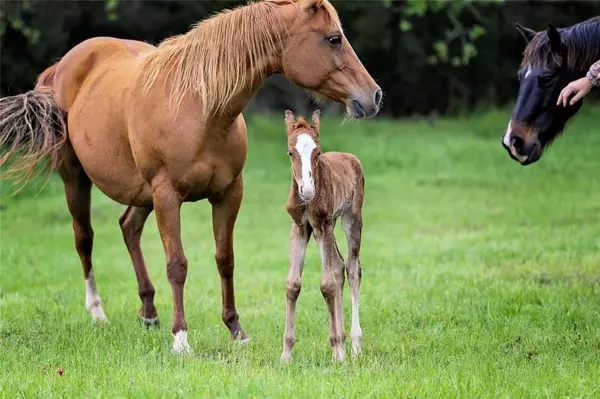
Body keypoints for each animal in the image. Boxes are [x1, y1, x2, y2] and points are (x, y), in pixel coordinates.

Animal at [278, 111, 364, 364]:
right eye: (290, 152)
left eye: (318, 152)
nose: (307, 190)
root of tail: (350, 157)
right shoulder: (300, 228)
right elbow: (293, 284)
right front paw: (286, 354)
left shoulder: (322, 224)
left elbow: (327, 284)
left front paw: (337, 353)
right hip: (328, 227)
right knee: (339, 266)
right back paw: (344, 341)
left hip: (349, 219)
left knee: (352, 269)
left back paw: (354, 345)